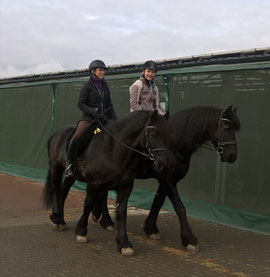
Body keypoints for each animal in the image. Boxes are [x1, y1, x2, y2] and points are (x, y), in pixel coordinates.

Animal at [42, 109, 170, 254]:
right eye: (153, 134)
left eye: (168, 134)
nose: (163, 164)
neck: (114, 149)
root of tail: (55, 133)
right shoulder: (93, 183)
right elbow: (88, 205)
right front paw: (81, 232)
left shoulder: (125, 187)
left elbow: (121, 213)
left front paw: (124, 243)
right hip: (55, 168)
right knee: (56, 189)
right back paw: (57, 219)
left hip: (71, 175)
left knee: (63, 192)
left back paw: (60, 219)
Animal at [91, 105, 240, 250]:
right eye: (227, 128)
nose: (232, 156)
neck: (174, 147)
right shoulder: (167, 180)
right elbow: (180, 207)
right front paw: (189, 239)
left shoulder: (166, 180)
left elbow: (158, 202)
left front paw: (150, 228)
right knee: (103, 194)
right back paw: (106, 221)